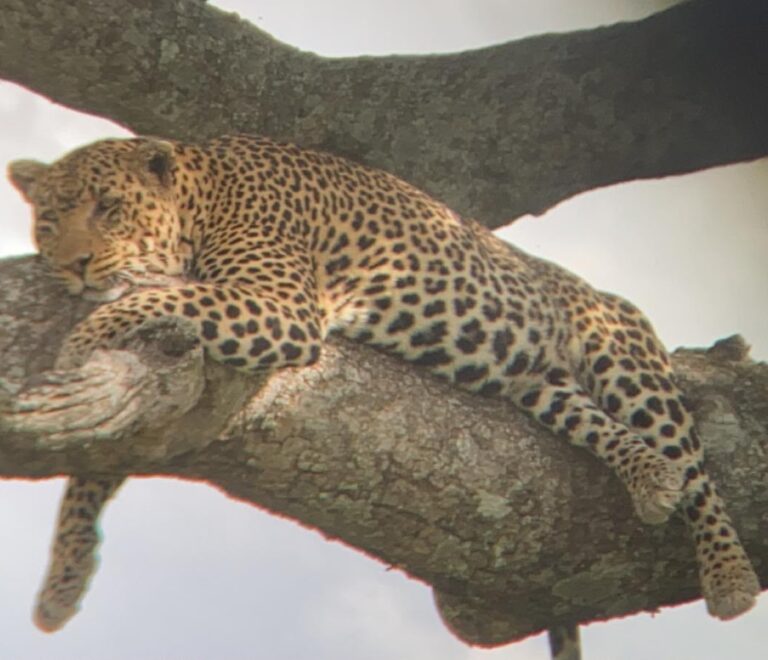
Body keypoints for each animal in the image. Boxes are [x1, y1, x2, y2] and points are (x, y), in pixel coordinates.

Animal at [6, 135, 761, 658]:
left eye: (109, 209)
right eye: (49, 221)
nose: (73, 265)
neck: (201, 200)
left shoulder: (279, 307)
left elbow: (156, 298)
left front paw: (82, 337)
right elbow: (100, 463)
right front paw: (64, 579)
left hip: (623, 354)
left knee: (698, 469)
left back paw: (728, 576)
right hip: (546, 389)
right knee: (615, 433)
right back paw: (649, 478)